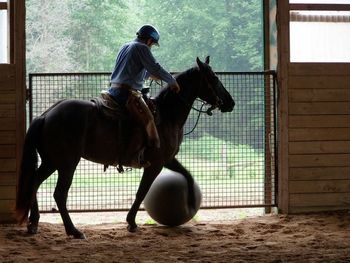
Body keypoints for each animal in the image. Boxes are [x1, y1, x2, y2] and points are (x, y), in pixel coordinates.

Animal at [15, 57, 235, 239]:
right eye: (214, 78)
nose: (230, 102)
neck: (167, 115)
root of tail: (45, 115)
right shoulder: (156, 164)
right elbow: (142, 192)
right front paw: (131, 222)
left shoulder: (168, 160)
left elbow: (187, 175)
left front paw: (189, 201)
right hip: (67, 163)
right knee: (59, 194)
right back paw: (73, 231)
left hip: (51, 161)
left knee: (34, 181)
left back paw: (34, 223)